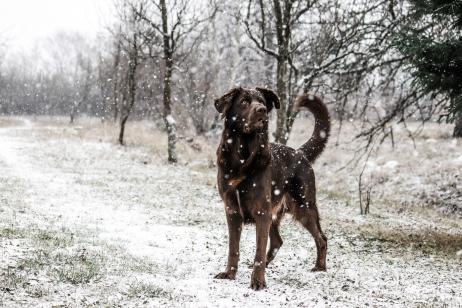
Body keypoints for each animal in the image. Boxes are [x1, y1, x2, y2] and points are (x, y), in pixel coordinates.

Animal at [215, 87, 330, 292]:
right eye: (244, 102)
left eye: (261, 101)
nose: (261, 110)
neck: (243, 157)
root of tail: (300, 153)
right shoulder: (232, 211)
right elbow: (233, 248)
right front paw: (229, 274)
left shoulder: (262, 212)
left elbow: (259, 250)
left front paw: (258, 281)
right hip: (275, 213)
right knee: (277, 241)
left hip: (303, 208)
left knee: (321, 238)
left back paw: (320, 267)